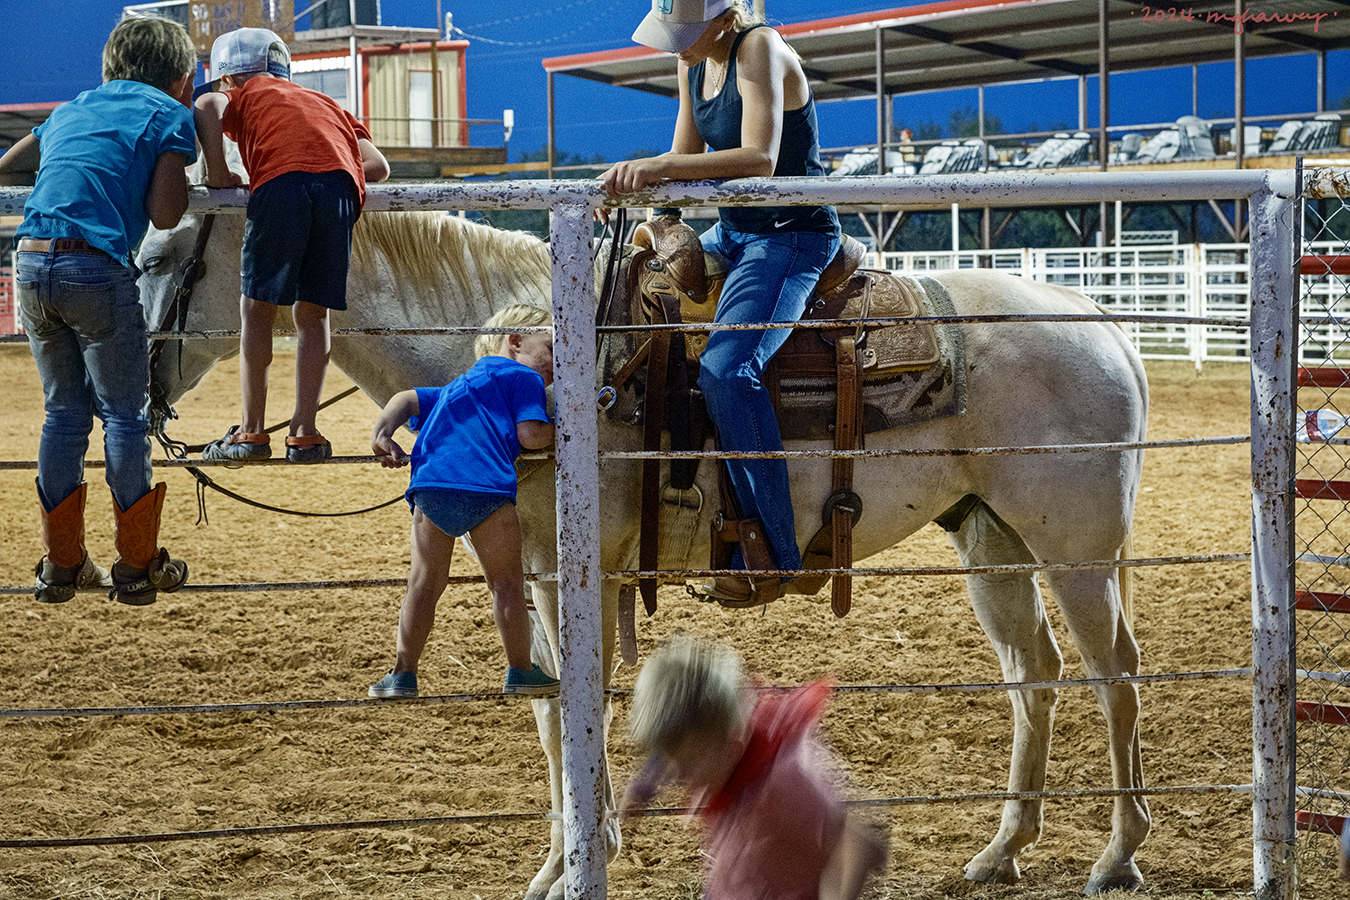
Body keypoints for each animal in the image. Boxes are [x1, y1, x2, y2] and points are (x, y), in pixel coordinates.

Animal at [136, 205, 1150, 899]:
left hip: (1076, 554)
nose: (136, 394)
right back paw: (1001, 850)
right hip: (993, 540)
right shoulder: (531, 566)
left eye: (160, 261)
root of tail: (1100, 320)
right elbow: (548, 706)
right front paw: (567, 857)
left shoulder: (569, 570)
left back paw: (1117, 853)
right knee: (1034, 675)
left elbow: (567, 704)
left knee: (1117, 676)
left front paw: (578, 861)